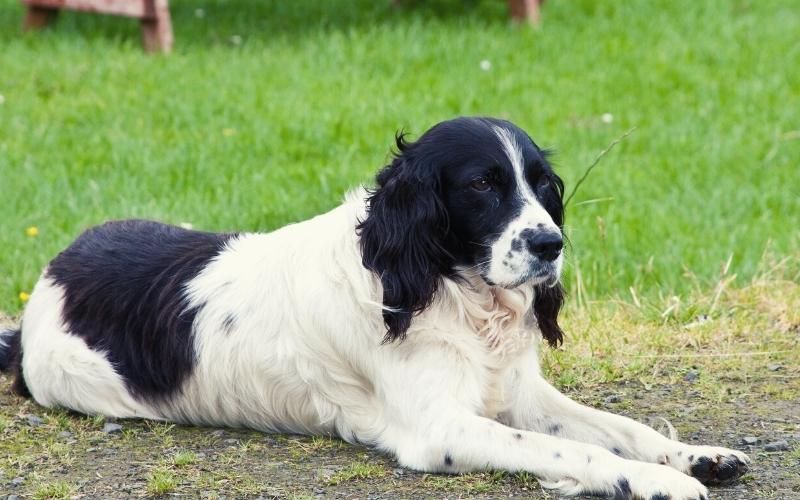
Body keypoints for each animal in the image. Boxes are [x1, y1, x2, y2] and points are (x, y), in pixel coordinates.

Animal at [1, 118, 752, 500]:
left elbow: (620, 427)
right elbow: (569, 449)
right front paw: (656, 481)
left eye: (543, 186)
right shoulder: (439, 427)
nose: (550, 244)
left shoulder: (520, 392)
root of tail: (50, 276)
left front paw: (694, 456)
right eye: (482, 185)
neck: (444, 288)